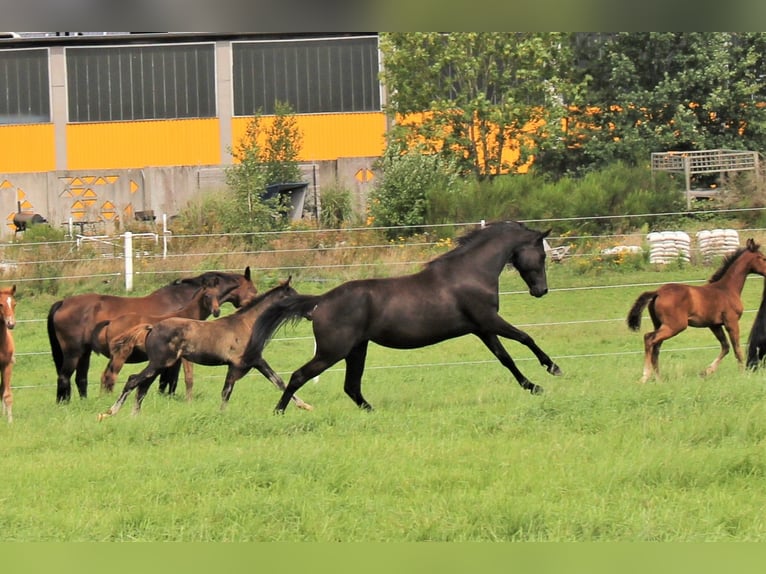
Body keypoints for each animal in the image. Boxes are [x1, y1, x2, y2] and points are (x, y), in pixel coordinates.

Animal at [91, 284, 222, 396]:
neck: (187, 317)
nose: (217, 311)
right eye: (207, 296)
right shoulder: (185, 357)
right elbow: (186, 377)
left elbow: (170, 379)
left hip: (114, 356)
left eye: (218, 295)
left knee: (105, 376)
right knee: (111, 376)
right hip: (121, 355)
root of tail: (111, 322)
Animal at [244, 220, 564, 414]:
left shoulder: (482, 328)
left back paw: (373, 412)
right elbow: (525, 338)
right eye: (541, 255)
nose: (541, 290)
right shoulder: (488, 321)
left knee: (351, 386)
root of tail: (320, 302)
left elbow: (505, 358)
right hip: (332, 351)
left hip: (356, 349)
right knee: (300, 376)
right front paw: (553, 369)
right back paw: (279, 412)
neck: (470, 273)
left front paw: (533, 386)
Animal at [628, 238, 766, 382]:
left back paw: (659, 379)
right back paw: (645, 376)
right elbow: (737, 349)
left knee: (656, 347)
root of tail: (657, 292)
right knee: (649, 338)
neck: (727, 289)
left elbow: (726, 347)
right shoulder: (731, 322)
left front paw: (706, 371)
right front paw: (743, 374)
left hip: (660, 324)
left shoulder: (714, 325)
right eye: (762, 258)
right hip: (675, 326)